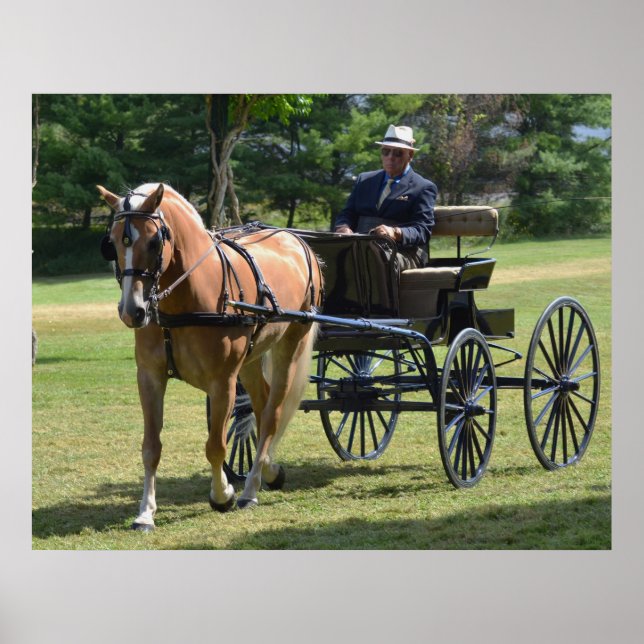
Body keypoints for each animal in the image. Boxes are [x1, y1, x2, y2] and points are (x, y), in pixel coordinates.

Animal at [97, 182, 323, 530]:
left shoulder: (222, 382)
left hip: (291, 345)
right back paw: (268, 471)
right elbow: (151, 447)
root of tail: (296, 241)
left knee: (272, 414)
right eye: (112, 242)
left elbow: (215, 446)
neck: (185, 298)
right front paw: (145, 512)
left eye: (154, 241)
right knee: (261, 406)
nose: (132, 310)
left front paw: (222, 495)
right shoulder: (149, 377)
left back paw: (250, 490)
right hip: (252, 359)